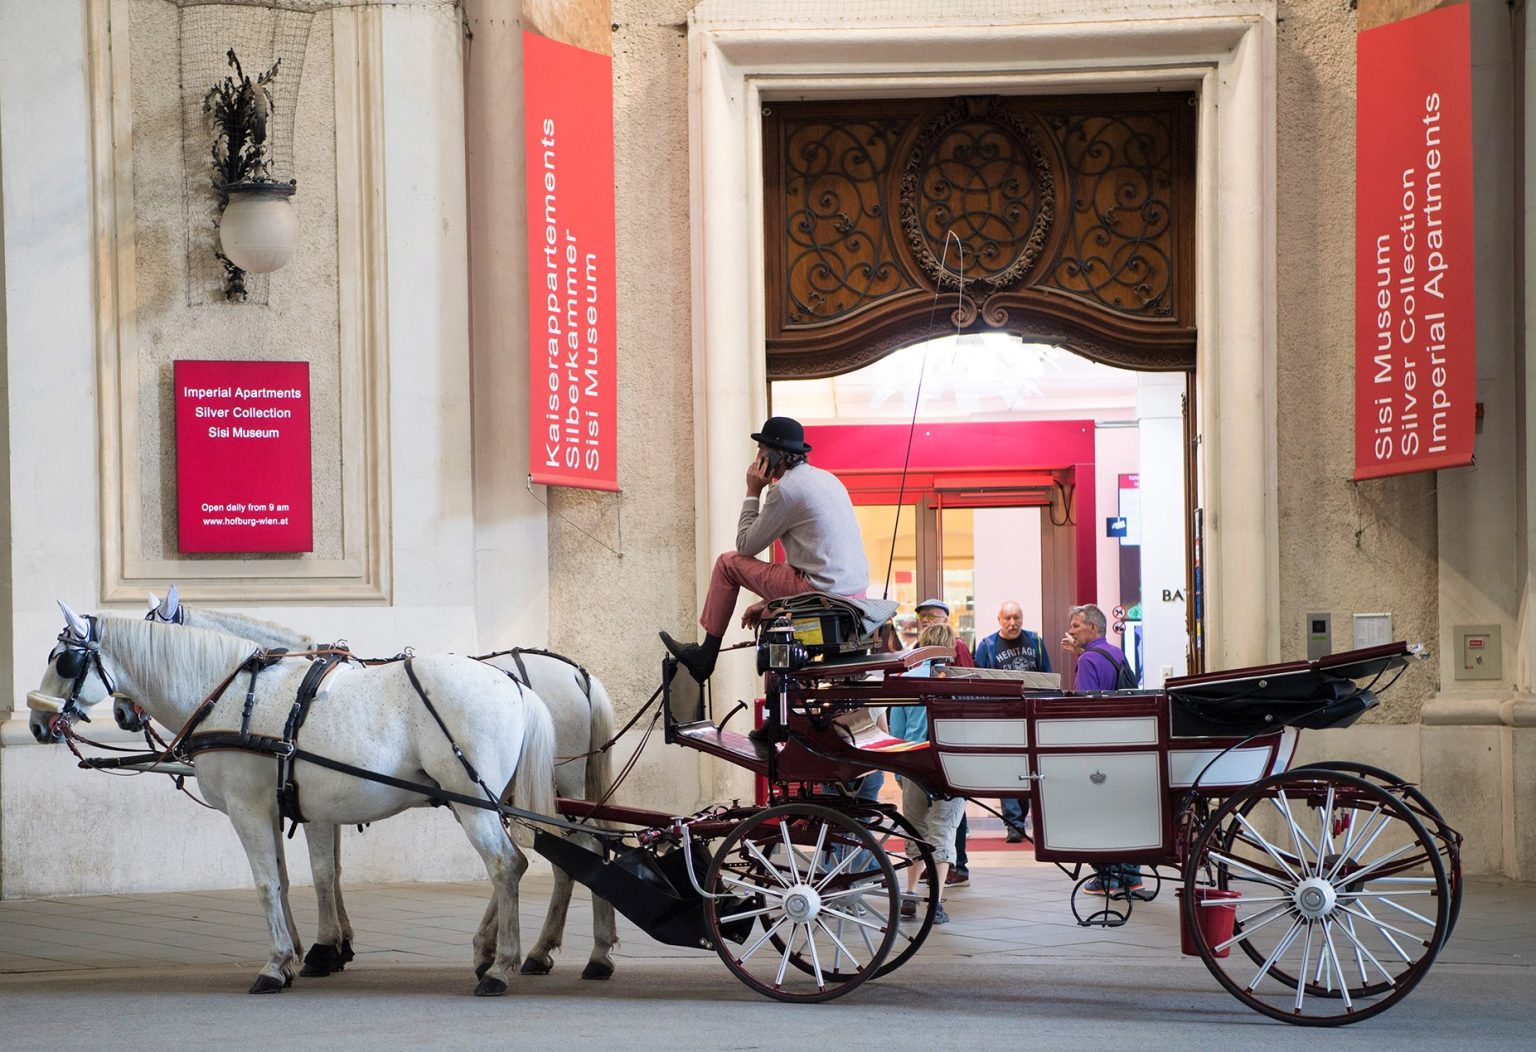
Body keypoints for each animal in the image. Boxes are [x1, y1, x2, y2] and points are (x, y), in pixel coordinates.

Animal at [29, 608, 556, 995]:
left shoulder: (249, 809)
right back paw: (495, 953)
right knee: (518, 865)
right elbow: (290, 880)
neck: (230, 697)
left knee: (506, 866)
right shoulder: (284, 807)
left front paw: (279, 962)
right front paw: (300, 956)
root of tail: (513, 684)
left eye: (63, 662)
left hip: (473, 801)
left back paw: (501, 966)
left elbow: (269, 883)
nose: (35, 724)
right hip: (483, 802)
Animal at [139, 586, 623, 982]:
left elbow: (321, 871)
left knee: (570, 853)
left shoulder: (309, 801)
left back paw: (550, 952)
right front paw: (332, 945)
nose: (127, 715)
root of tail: (577, 673)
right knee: (580, 848)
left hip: (545, 786)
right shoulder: (319, 798)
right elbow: (326, 870)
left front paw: (322, 947)